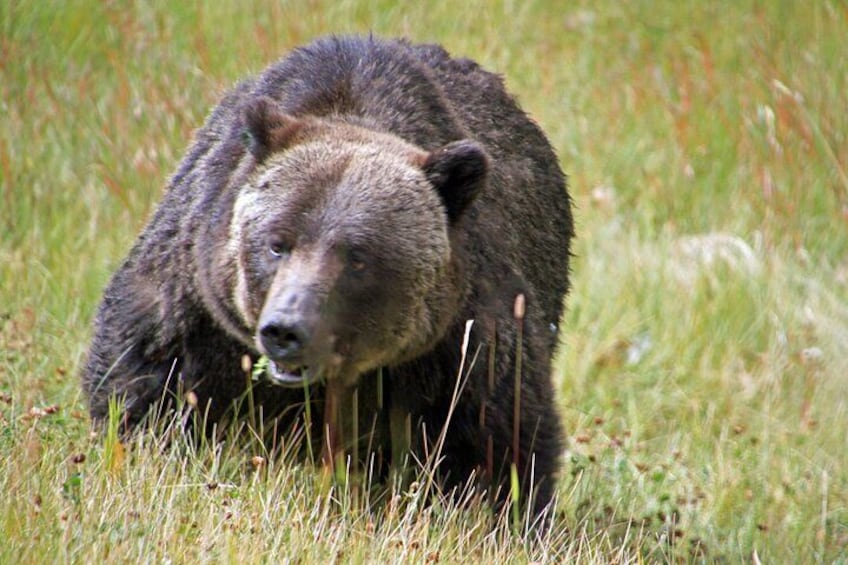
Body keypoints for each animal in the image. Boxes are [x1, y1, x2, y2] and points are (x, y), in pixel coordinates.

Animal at [82, 35, 574, 519]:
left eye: (358, 257)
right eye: (276, 242)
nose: (286, 330)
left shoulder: (463, 339)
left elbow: (495, 439)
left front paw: (493, 508)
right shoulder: (196, 307)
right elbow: (145, 381)